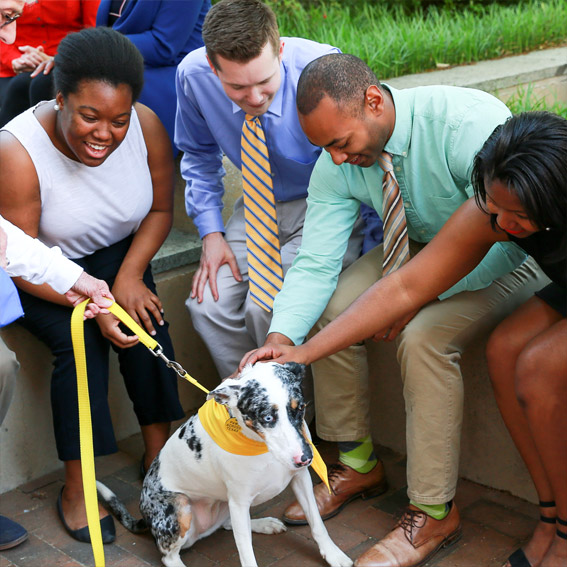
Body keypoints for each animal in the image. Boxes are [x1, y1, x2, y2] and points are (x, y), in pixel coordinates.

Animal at [98, 364, 356, 567]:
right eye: (267, 417)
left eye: (300, 408)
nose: (306, 458)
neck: (259, 445)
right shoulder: (239, 501)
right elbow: (246, 553)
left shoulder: (300, 478)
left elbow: (317, 524)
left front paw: (333, 555)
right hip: (180, 509)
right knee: (169, 557)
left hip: (224, 505)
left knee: (228, 524)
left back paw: (264, 524)